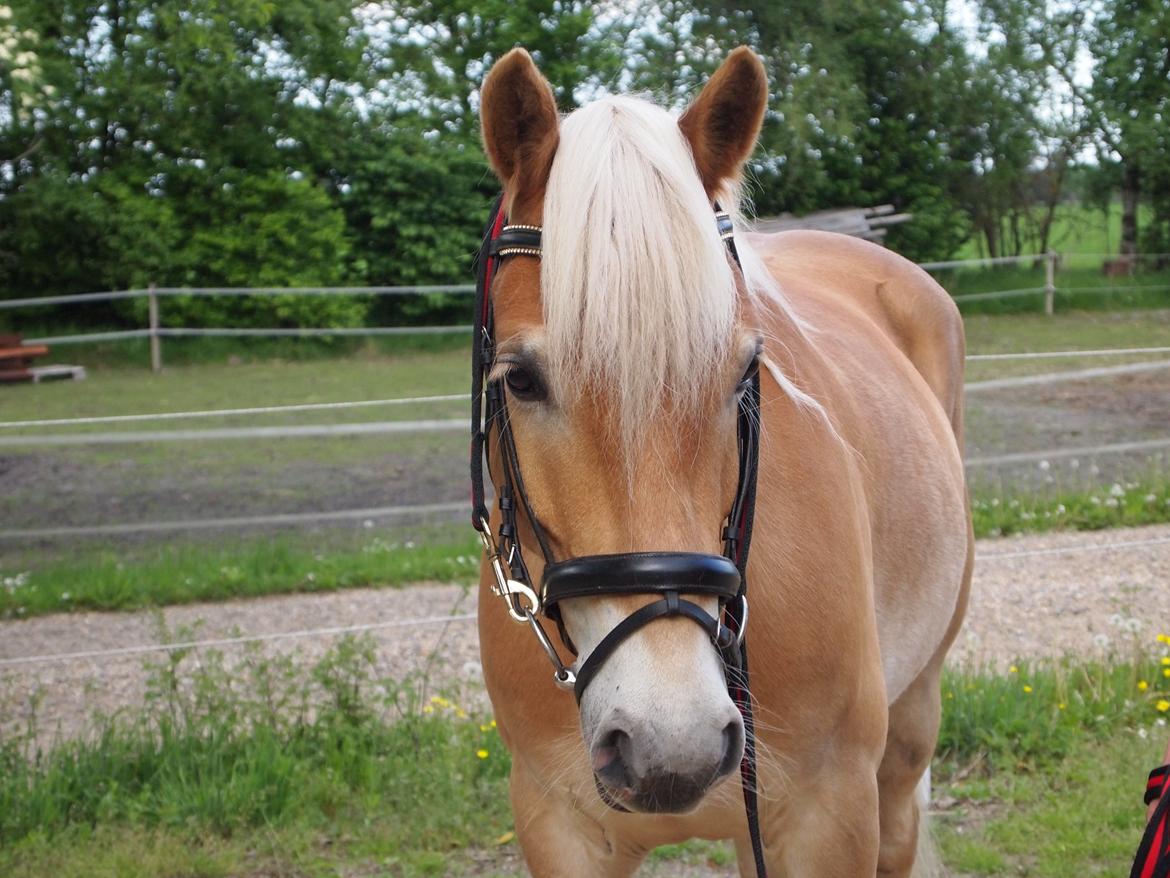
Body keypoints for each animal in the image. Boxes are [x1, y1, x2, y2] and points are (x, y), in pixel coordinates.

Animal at [470, 47, 973, 878]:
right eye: (520, 380)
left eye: (743, 374)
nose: (670, 744)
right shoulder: (557, 824)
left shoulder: (829, 819)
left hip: (907, 742)